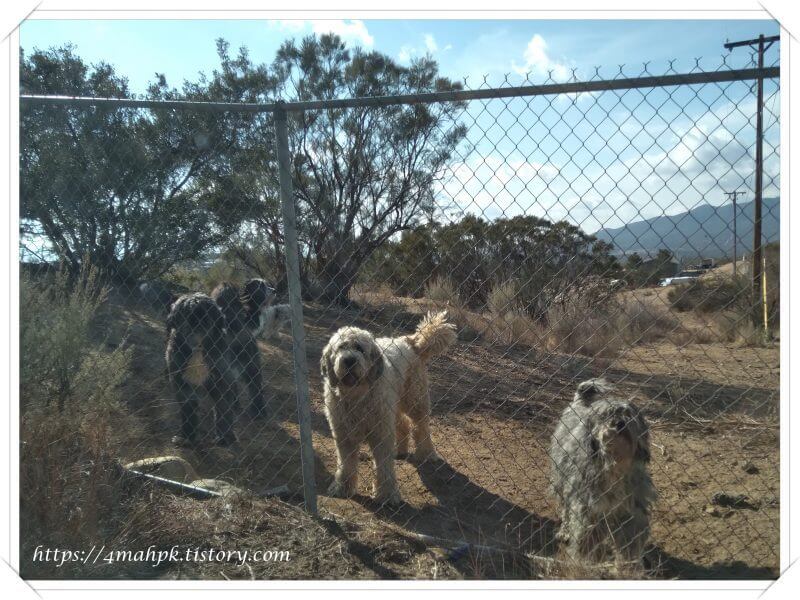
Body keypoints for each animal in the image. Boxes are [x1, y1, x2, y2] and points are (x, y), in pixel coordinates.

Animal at [165, 278, 290, 448]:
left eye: (207, 317)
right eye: (187, 315)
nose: (196, 335)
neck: (199, 351)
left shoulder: (220, 383)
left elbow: (223, 411)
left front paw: (224, 438)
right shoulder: (182, 384)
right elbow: (188, 411)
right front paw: (187, 437)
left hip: (250, 366)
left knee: (255, 388)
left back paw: (258, 411)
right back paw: (236, 404)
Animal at [320, 312, 456, 504]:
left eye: (360, 349)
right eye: (341, 347)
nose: (349, 360)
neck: (357, 396)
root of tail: (410, 341)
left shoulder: (380, 434)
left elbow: (384, 465)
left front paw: (387, 495)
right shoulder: (344, 434)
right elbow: (346, 464)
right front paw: (342, 488)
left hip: (414, 401)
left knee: (422, 427)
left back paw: (427, 454)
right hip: (392, 407)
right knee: (403, 425)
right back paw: (400, 450)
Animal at [552, 380, 656, 564]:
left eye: (628, 414)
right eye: (605, 416)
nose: (619, 423)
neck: (614, 465)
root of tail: (581, 403)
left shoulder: (631, 515)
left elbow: (630, 548)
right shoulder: (589, 511)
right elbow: (586, 544)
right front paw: (584, 564)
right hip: (563, 482)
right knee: (566, 510)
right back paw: (564, 531)